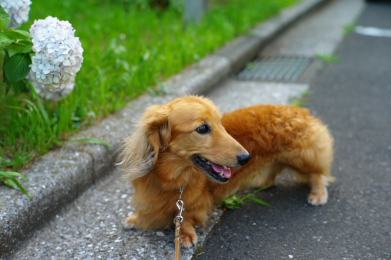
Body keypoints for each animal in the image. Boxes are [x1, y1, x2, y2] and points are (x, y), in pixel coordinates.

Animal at [116, 95, 334, 248]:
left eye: (221, 124)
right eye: (202, 128)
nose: (246, 158)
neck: (172, 179)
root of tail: (300, 110)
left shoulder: (193, 203)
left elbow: (186, 217)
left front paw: (185, 235)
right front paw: (136, 218)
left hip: (302, 155)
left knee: (317, 174)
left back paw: (318, 193)